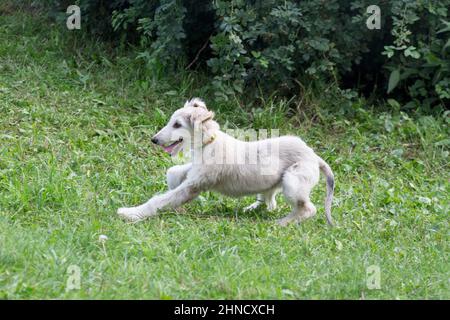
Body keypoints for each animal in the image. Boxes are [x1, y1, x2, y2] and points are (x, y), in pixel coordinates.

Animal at [117, 99, 334, 226]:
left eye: (177, 124)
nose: (154, 140)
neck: (209, 143)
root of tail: (314, 156)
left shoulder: (195, 184)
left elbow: (158, 200)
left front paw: (130, 213)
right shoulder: (195, 173)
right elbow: (173, 173)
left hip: (293, 182)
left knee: (307, 209)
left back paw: (281, 223)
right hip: (274, 183)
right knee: (270, 202)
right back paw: (252, 209)